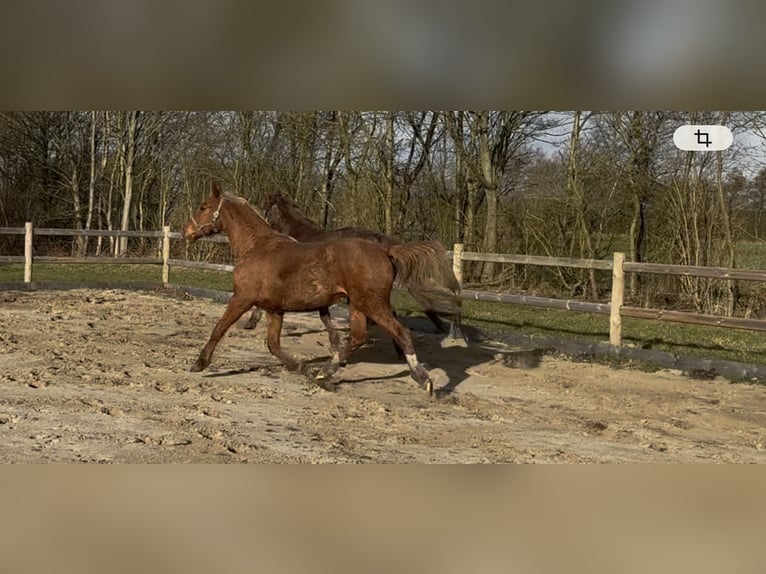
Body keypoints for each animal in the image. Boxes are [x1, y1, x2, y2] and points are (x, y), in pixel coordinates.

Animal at [182, 183, 440, 395]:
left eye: (204, 207)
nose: (187, 232)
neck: (257, 247)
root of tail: (385, 251)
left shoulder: (242, 298)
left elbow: (219, 329)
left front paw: (199, 363)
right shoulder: (274, 309)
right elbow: (274, 345)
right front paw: (306, 370)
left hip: (372, 304)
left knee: (401, 331)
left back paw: (422, 377)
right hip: (357, 305)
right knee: (358, 337)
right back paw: (325, 372)